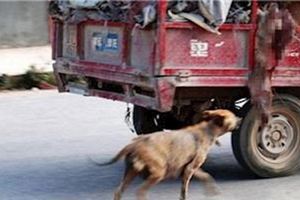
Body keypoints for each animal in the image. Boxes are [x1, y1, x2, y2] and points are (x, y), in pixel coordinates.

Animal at [97, 109, 240, 200]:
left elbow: (206, 176)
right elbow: (185, 189)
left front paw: (213, 191)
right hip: (158, 172)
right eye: (234, 116)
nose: (241, 118)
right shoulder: (190, 169)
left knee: (118, 191)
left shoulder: (191, 168)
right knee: (140, 192)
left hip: (131, 171)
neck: (209, 129)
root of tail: (134, 144)